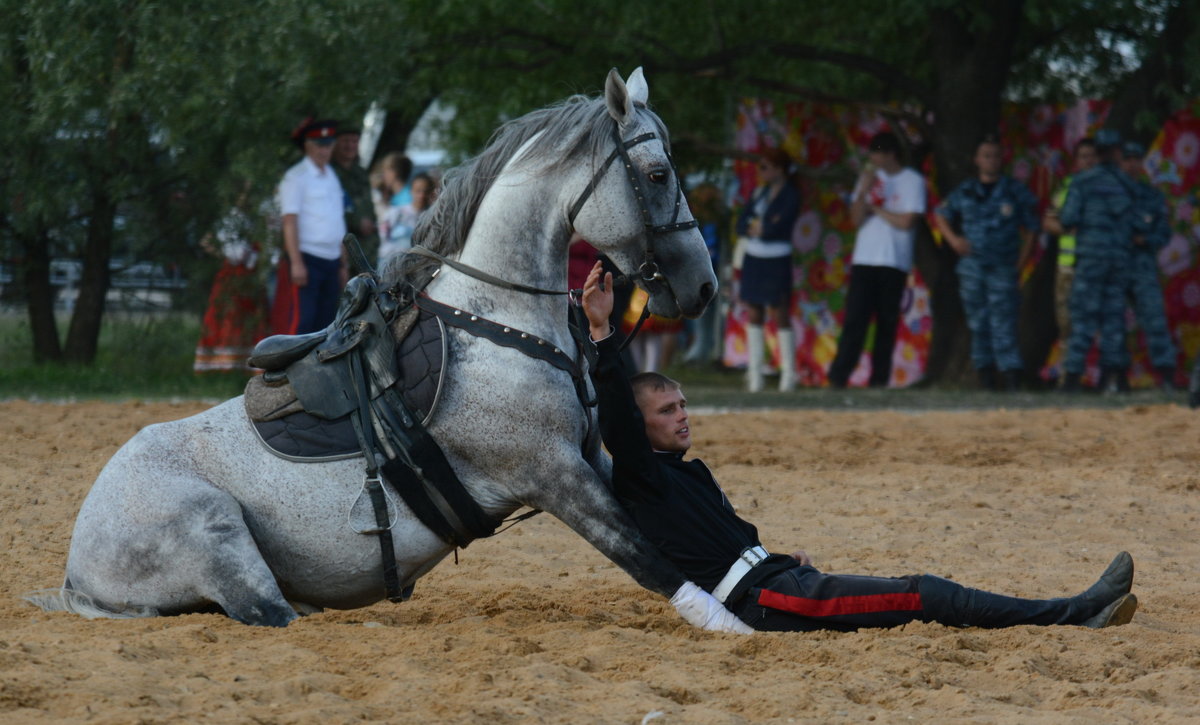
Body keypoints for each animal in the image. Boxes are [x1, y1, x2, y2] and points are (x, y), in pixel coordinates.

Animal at [25, 69, 748, 633]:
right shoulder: (553, 475)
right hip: (217, 530)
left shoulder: (590, 457)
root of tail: (78, 564)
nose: (703, 284)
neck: (495, 321)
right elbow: (648, 558)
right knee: (268, 615)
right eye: (657, 172)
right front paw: (737, 626)